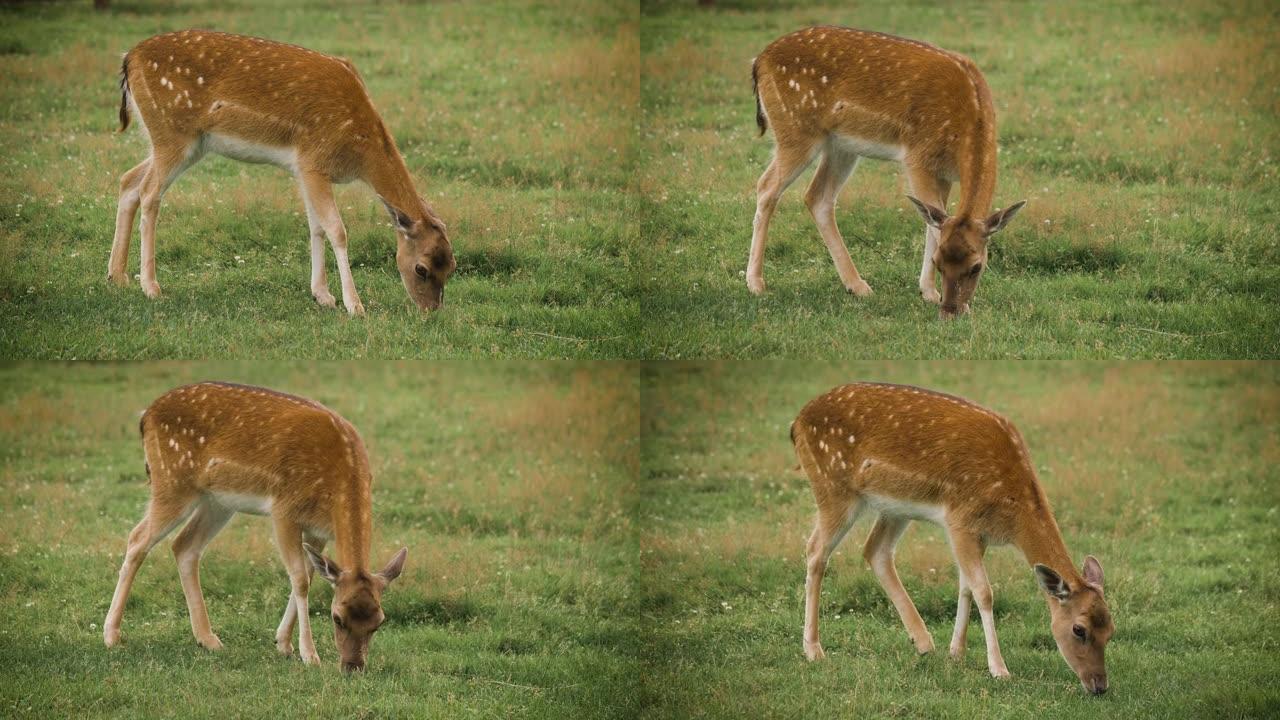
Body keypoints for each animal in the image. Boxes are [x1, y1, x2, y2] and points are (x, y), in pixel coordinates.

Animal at [102, 379, 407, 671]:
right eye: (337, 617)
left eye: (379, 622)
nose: (353, 667)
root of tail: (145, 416)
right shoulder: (284, 509)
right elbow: (299, 579)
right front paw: (309, 654)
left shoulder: (317, 530)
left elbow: (307, 577)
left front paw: (283, 643)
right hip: (172, 481)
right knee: (137, 538)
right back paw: (111, 635)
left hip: (217, 501)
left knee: (184, 545)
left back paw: (208, 639)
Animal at [108, 30, 455, 312]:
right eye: (421, 268)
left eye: (451, 267)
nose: (431, 310)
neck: (359, 151)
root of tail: (128, 58)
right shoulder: (314, 161)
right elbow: (337, 230)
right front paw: (354, 305)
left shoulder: (303, 170)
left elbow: (316, 227)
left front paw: (322, 295)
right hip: (172, 133)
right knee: (149, 192)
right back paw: (150, 287)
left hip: (189, 144)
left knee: (128, 180)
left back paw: (117, 276)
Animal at [747, 28, 1029, 313]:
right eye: (939, 263)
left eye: (977, 266)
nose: (951, 309)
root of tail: (759, 61)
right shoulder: (917, 156)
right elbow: (933, 223)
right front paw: (933, 292)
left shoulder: (943, 172)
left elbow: (934, 220)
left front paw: (929, 293)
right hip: (796, 130)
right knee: (766, 186)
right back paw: (756, 284)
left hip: (840, 145)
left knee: (817, 197)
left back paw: (857, 286)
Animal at [793, 381, 1116, 691]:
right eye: (1079, 629)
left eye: (1111, 630)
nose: (1099, 685)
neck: (1011, 514)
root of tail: (797, 423)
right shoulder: (960, 521)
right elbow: (984, 592)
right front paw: (999, 669)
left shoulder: (978, 534)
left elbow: (966, 587)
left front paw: (956, 653)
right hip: (834, 488)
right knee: (816, 550)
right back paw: (813, 649)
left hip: (894, 507)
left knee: (875, 550)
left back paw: (923, 642)